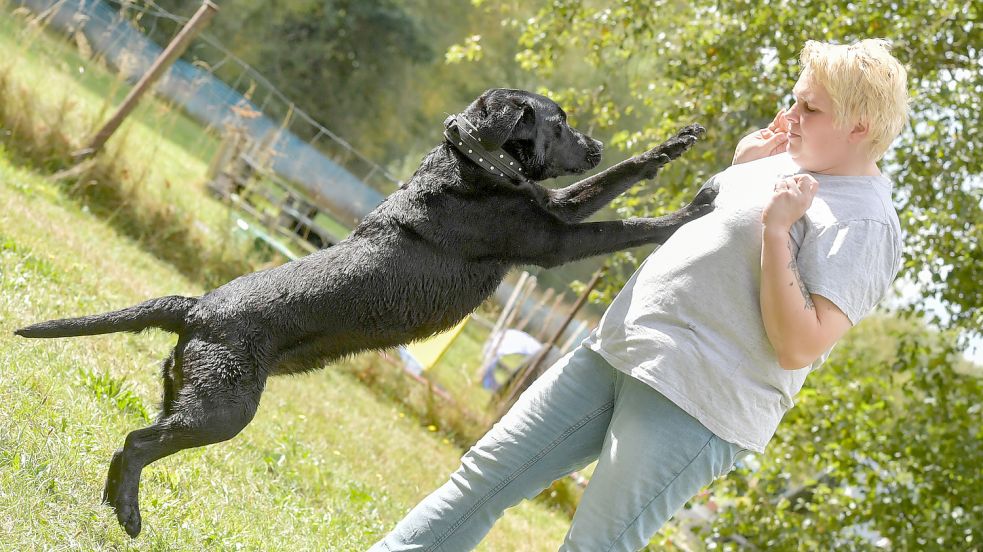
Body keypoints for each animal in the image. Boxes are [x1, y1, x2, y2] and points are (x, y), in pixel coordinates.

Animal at [13, 88, 716, 536]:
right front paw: (695, 209)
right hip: (222, 410)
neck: (471, 166)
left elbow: (620, 179)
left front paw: (677, 144)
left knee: (134, 441)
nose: (593, 144)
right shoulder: (553, 240)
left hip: (186, 395)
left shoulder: (555, 210)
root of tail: (197, 307)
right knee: (135, 443)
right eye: (560, 121)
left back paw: (116, 506)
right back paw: (129, 515)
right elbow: (627, 224)